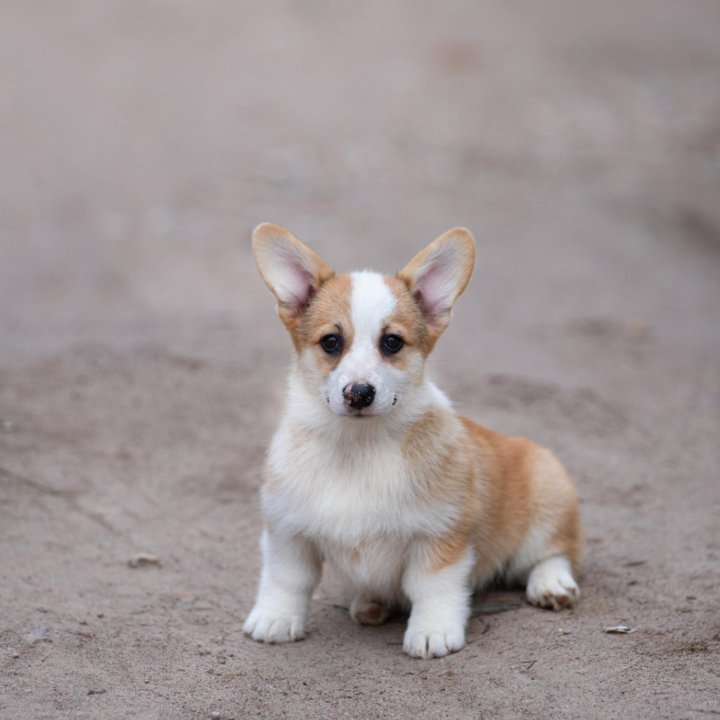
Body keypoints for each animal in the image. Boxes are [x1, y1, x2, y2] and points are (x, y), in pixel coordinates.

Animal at [245, 224, 584, 660]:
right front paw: (275, 619)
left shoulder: (440, 535)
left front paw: (432, 632)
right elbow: (286, 580)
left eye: (392, 342)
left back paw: (551, 585)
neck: (358, 445)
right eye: (331, 342)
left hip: (548, 492)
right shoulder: (287, 531)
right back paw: (370, 603)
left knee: (553, 554)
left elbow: (432, 588)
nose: (359, 393)